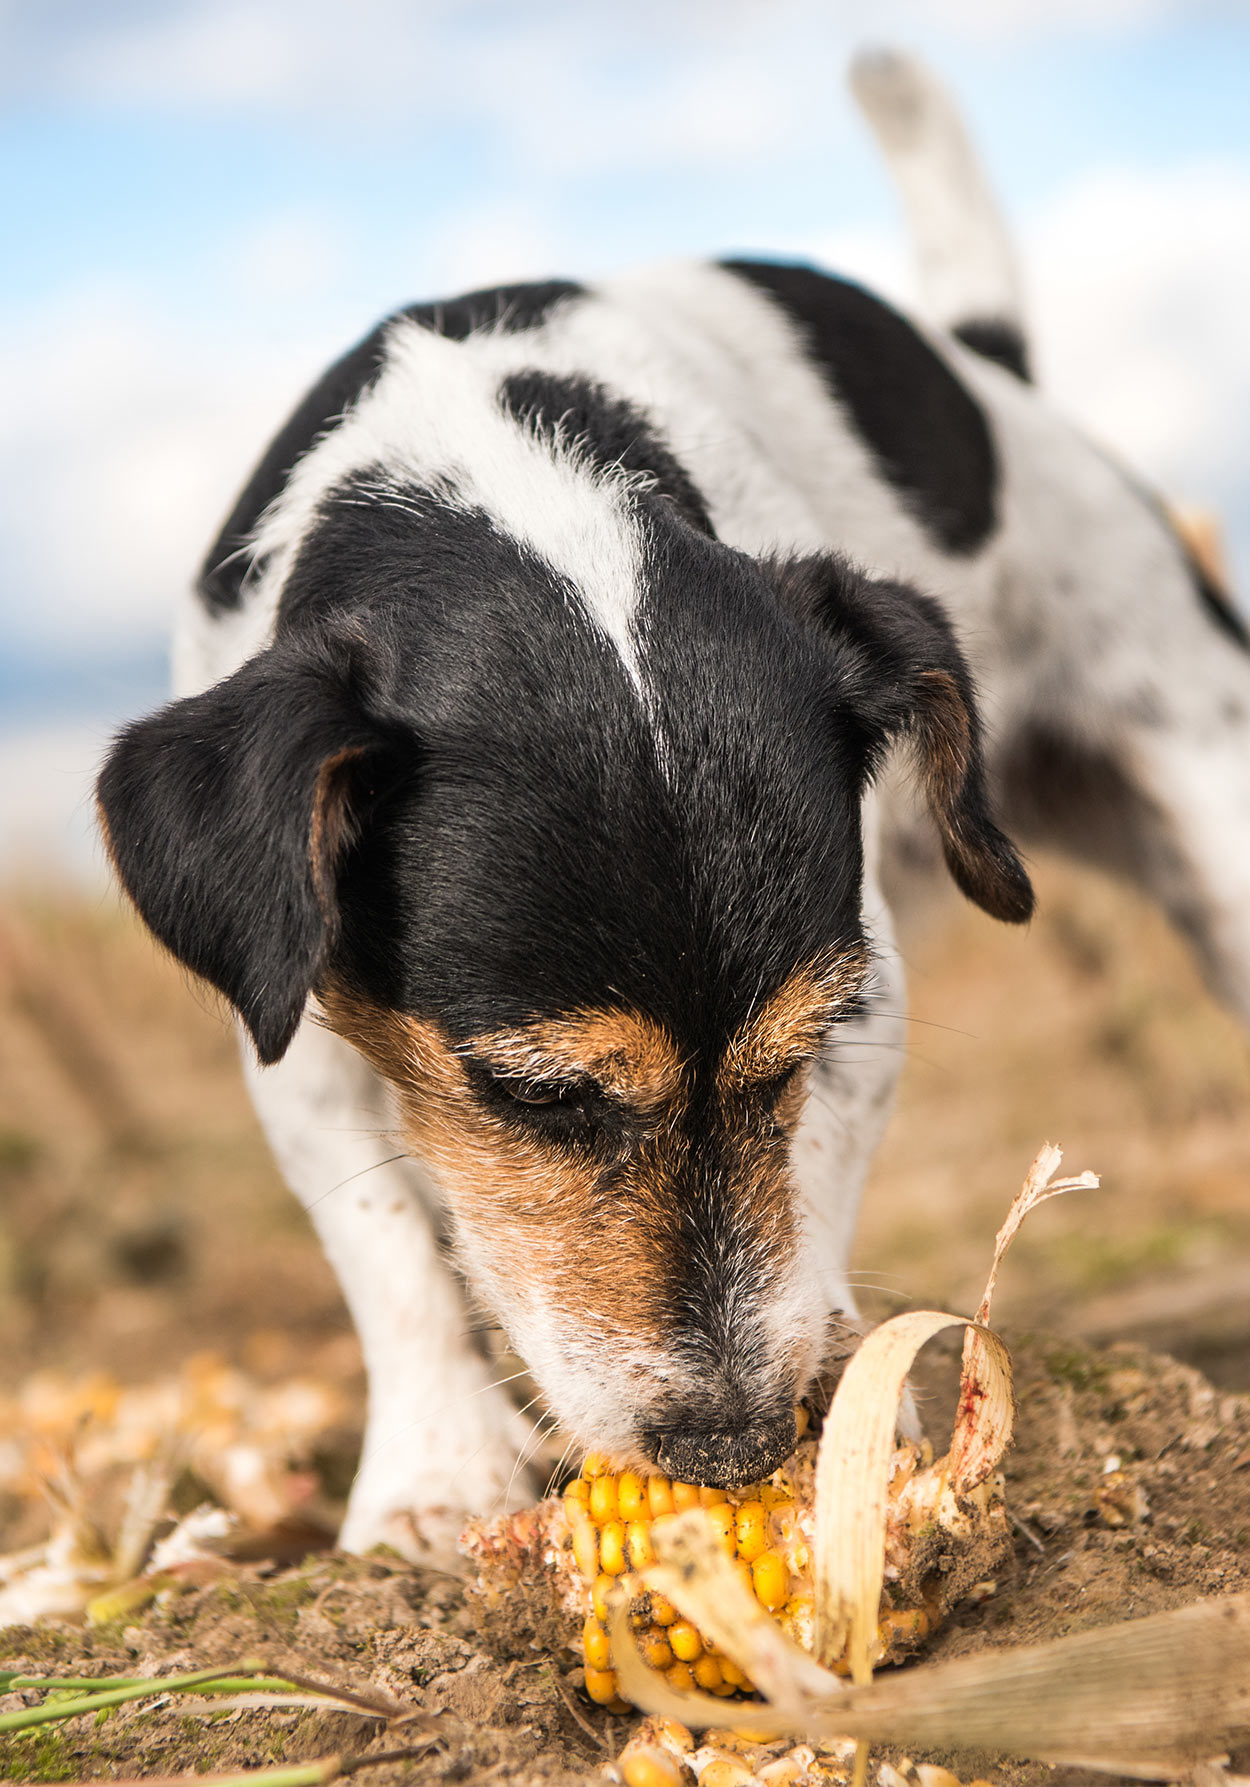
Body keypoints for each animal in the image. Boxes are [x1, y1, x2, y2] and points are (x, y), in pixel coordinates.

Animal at [95, 52, 1250, 1565]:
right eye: (536, 1094)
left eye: (789, 1057)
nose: (734, 1444)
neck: (504, 476)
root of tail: (987, 366)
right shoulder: (287, 1013)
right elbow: (388, 1249)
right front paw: (433, 1475)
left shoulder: (858, 999)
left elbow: (811, 1178)